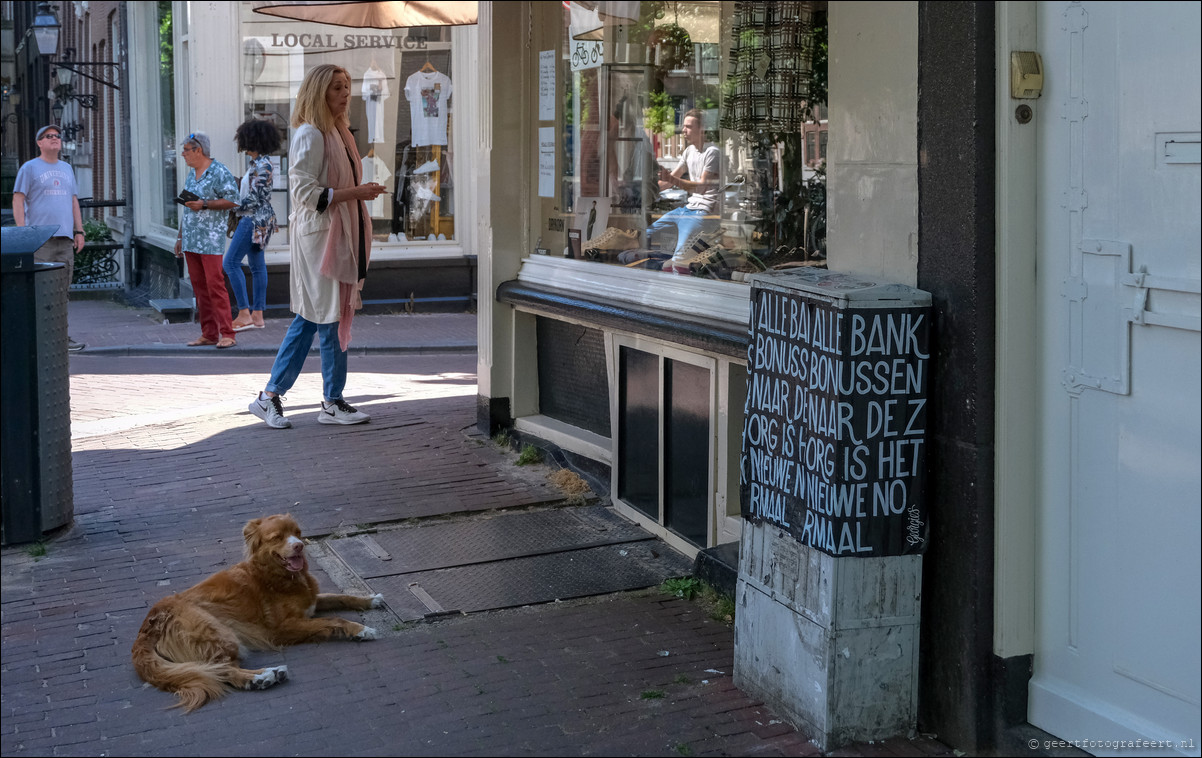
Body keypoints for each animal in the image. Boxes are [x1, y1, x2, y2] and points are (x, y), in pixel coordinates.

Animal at [129, 514, 379, 715]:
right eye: (277, 537)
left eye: (297, 533)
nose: (299, 545)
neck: (276, 574)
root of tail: (149, 623)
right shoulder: (283, 628)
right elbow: (334, 619)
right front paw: (361, 629)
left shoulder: (312, 602)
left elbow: (340, 596)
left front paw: (370, 599)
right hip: (219, 633)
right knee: (222, 669)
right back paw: (260, 678)